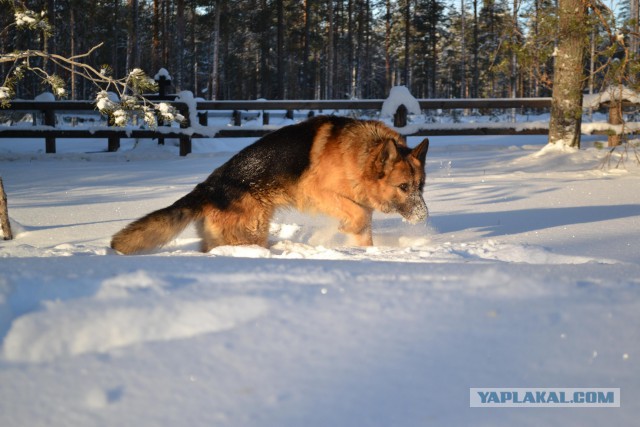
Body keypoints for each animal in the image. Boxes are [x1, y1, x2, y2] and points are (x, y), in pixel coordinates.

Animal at [111, 115, 430, 254]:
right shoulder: (317, 192)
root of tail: (208, 187)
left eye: (421, 187)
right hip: (252, 230)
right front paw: (346, 231)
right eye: (403, 187)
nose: (424, 217)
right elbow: (359, 216)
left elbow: (364, 227)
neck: (361, 153)